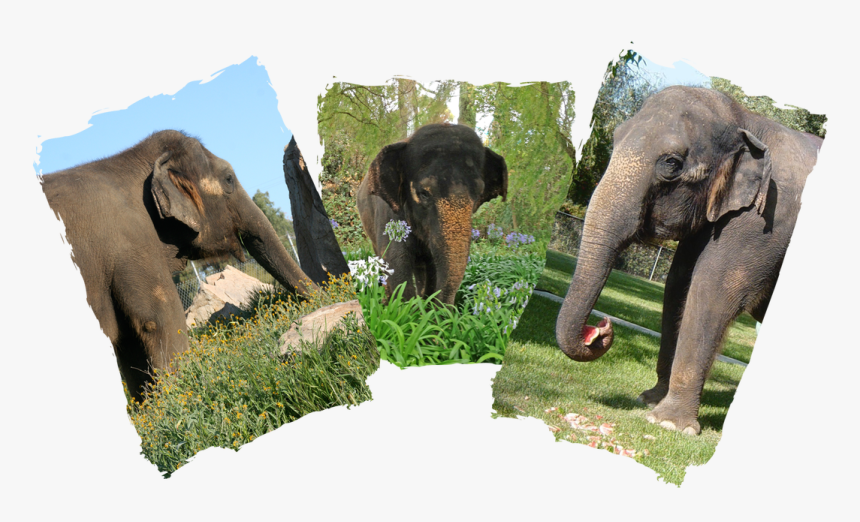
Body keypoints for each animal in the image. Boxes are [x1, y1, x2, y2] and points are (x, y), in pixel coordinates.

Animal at [41, 130, 317, 401]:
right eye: (229, 179)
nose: (320, 299)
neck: (131, 161)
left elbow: (130, 341)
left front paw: (155, 407)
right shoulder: (131, 243)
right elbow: (159, 318)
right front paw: (181, 398)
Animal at [356, 123, 508, 305]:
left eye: (479, 194)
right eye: (424, 194)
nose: (446, 310)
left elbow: (432, 267)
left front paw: (426, 306)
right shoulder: (389, 213)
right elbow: (396, 262)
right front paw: (407, 308)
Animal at [555, 86, 823, 435]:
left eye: (671, 163)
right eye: (614, 139)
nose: (601, 328)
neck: (748, 120)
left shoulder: (769, 217)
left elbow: (714, 288)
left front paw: (669, 423)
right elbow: (678, 282)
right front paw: (650, 400)